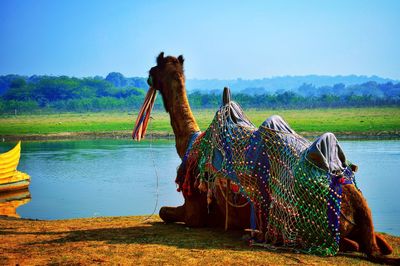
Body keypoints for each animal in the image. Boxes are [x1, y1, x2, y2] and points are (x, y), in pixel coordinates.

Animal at [134, 53, 394, 262]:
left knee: (348, 244)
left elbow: (164, 212)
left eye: (153, 69)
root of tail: (356, 200)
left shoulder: (194, 210)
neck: (190, 143)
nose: (147, 76)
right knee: (379, 244)